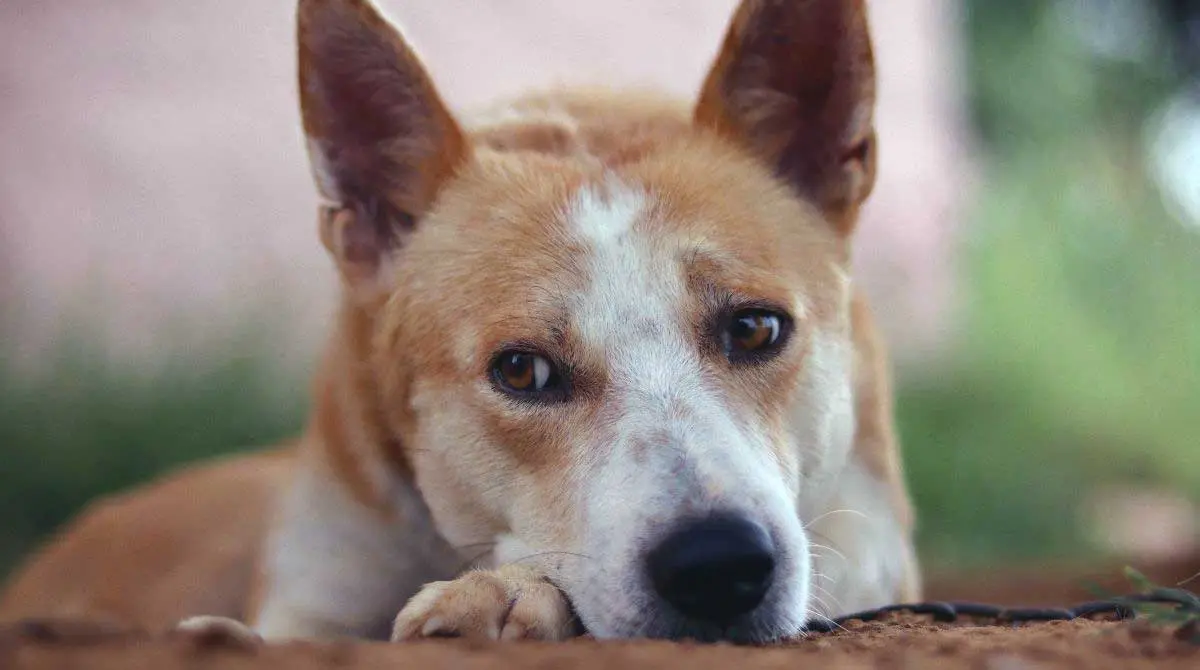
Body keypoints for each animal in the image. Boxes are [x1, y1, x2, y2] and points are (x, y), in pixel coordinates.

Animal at [0, 0, 916, 648]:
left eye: (756, 329)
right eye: (522, 371)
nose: (720, 566)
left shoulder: (867, 531)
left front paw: (509, 592)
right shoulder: (318, 584)